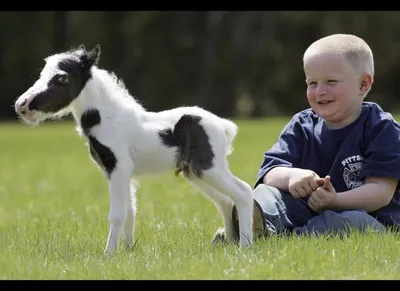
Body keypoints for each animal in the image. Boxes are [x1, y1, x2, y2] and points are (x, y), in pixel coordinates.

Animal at [15, 44, 255, 254]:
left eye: (62, 78)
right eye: (42, 73)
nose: (22, 105)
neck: (108, 118)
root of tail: (224, 125)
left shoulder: (119, 168)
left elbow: (118, 214)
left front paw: (109, 254)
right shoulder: (121, 173)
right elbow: (130, 212)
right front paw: (128, 251)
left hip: (209, 168)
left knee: (243, 192)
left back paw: (245, 246)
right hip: (194, 172)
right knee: (225, 201)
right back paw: (231, 242)